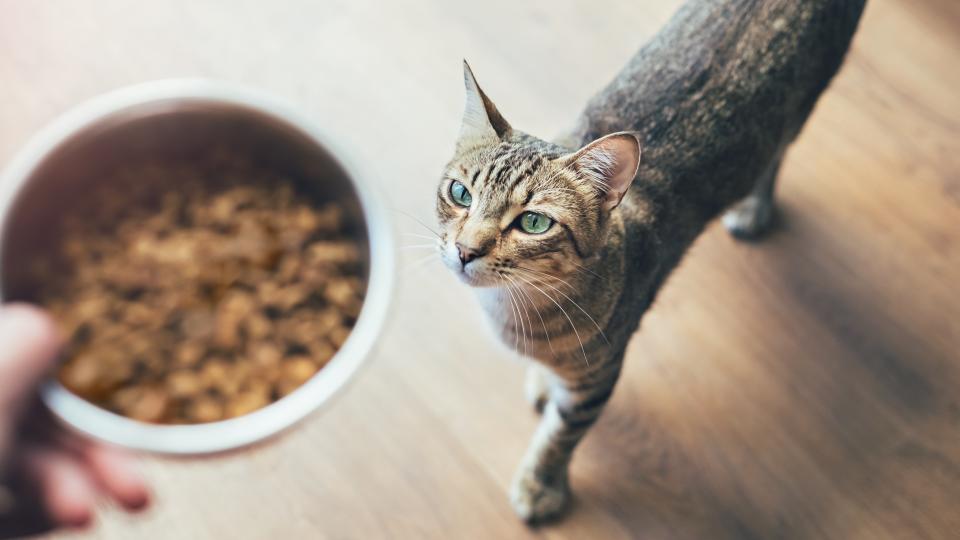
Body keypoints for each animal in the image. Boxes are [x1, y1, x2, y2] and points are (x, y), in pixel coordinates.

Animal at [434, 0, 864, 524]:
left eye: (533, 222)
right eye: (460, 194)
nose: (465, 249)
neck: (515, 307)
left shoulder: (598, 378)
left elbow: (560, 435)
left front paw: (540, 484)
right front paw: (542, 380)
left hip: (796, 112)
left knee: (776, 156)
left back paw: (753, 209)